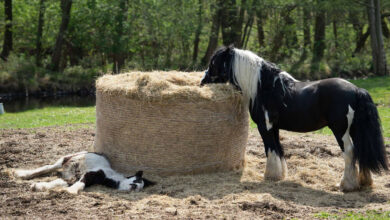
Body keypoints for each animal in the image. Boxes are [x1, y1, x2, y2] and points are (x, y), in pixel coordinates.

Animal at [14, 151, 154, 194]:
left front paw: (37, 187)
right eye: (136, 180)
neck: (108, 176)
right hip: (66, 159)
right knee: (49, 167)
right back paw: (21, 174)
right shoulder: (89, 173)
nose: (135, 186)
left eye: (141, 187)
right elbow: (80, 184)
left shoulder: (78, 177)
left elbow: (64, 182)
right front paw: (70, 192)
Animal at [200, 46, 388, 191]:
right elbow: (278, 149)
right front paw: (280, 175)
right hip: (355, 130)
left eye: (213, 63)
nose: (202, 81)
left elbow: (270, 149)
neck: (264, 87)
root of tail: (356, 90)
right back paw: (364, 182)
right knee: (361, 151)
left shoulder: (265, 126)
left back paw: (346, 185)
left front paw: (270, 175)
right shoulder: (274, 127)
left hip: (340, 131)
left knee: (349, 152)